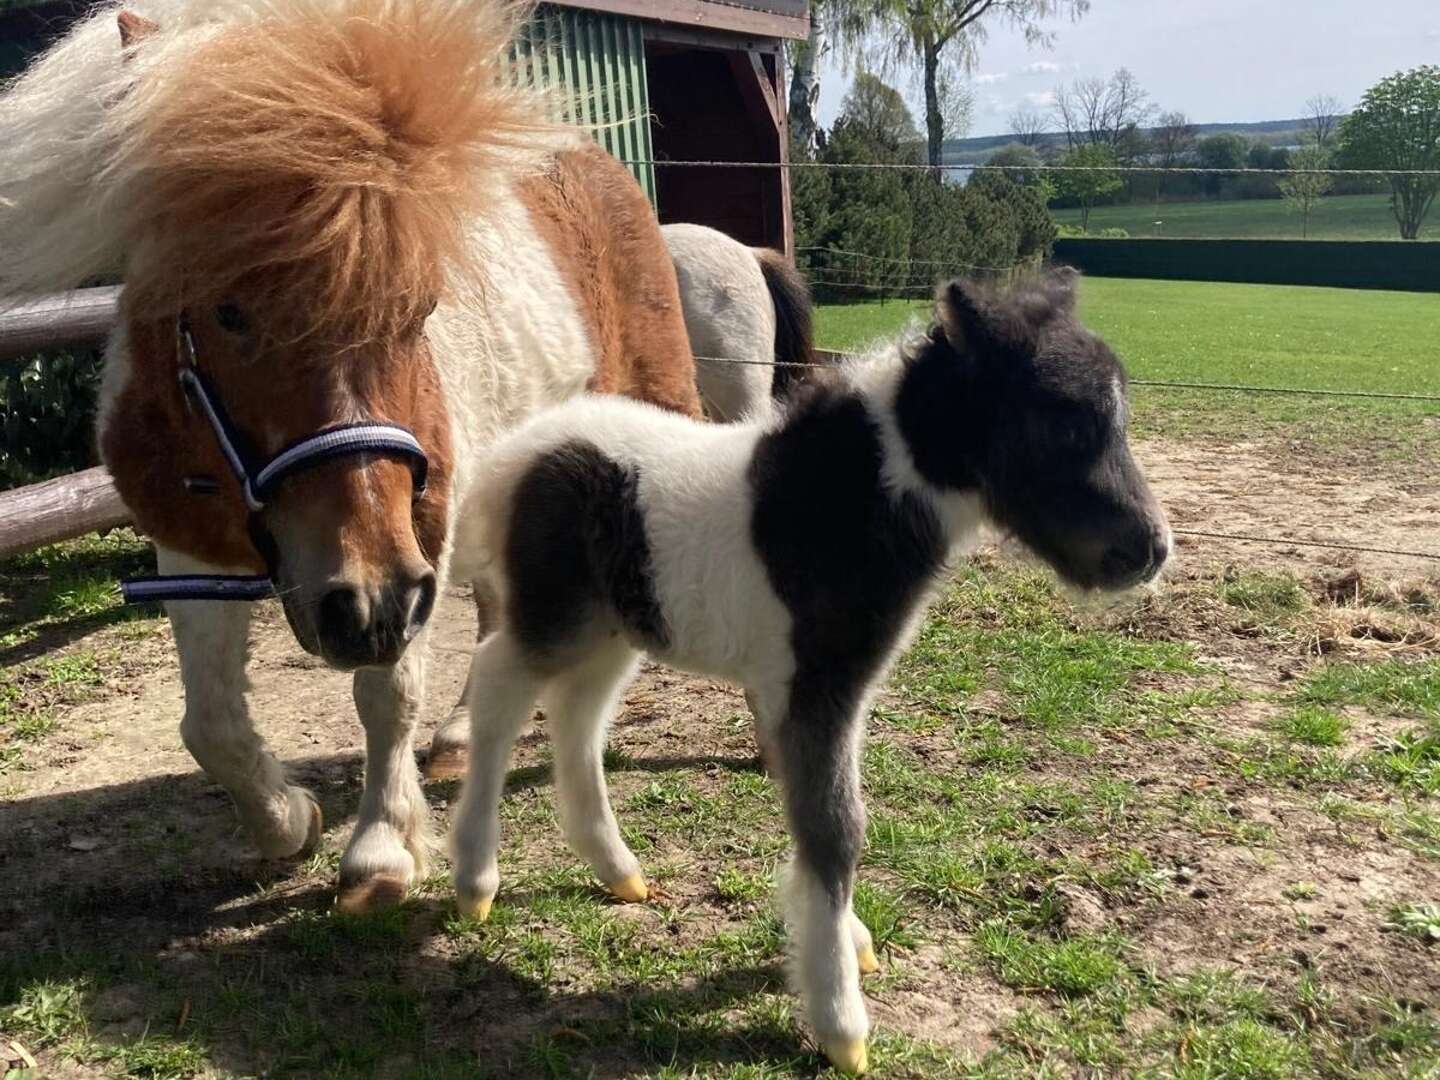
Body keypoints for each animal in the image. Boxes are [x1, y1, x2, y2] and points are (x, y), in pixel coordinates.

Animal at [0, 0, 800, 915]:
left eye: (418, 306)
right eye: (227, 311)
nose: (364, 603)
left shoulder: (416, 534)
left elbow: (387, 690)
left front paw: (381, 848)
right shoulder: (191, 542)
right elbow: (210, 721)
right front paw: (288, 822)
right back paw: (458, 741)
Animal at [449, 272, 1169, 1077]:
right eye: (1064, 426)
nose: (1148, 550)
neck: (845, 503)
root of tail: (516, 454)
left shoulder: (815, 692)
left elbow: (822, 818)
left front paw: (846, 945)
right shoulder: (817, 688)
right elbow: (834, 828)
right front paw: (839, 1019)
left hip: (614, 627)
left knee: (578, 715)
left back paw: (616, 868)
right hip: (556, 616)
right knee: (499, 689)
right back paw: (474, 879)